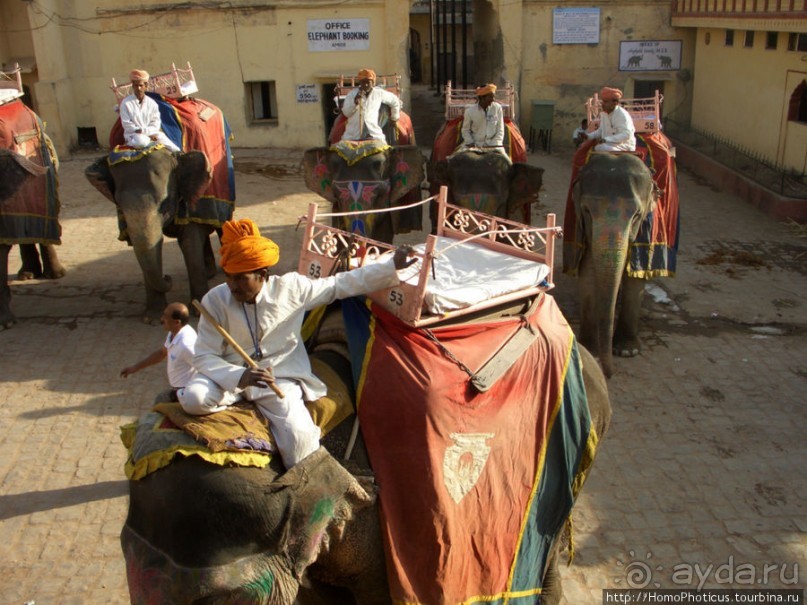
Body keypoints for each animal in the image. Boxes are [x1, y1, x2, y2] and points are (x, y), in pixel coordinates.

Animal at [85, 147, 227, 324]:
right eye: (119, 206)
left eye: (164, 204)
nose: (167, 277)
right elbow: (147, 249)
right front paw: (152, 318)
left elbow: (189, 244)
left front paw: (199, 312)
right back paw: (210, 274)